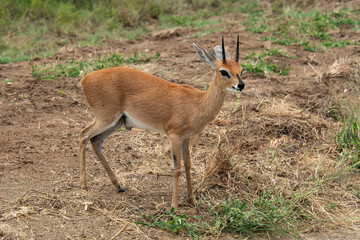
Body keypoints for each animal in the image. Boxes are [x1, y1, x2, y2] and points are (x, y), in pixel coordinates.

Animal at [78, 36, 245, 208]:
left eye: (241, 69)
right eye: (224, 71)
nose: (240, 85)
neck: (197, 102)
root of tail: (85, 79)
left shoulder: (186, 138)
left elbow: (188, 165)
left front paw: (192, 200)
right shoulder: (174, 136)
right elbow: (176, 168)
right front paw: (174, 206)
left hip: (116, 123)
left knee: (95, 141)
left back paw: (119, 186)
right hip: (105, 119)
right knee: (83, 134)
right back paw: (84, 185)